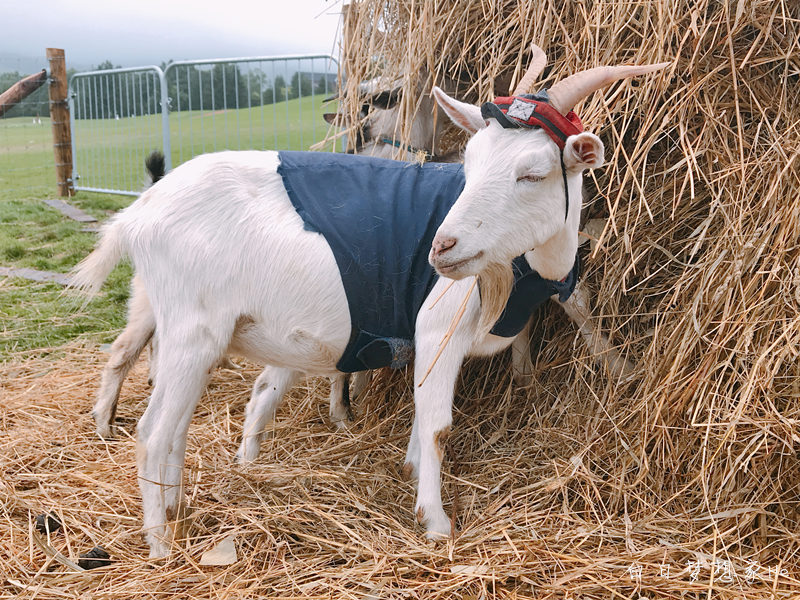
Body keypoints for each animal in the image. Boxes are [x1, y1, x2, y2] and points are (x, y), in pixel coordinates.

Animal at [75, 52, 664, 556]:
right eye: (470, 163)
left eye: (533, 174)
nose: (441, 247)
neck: (530, 266)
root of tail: (140, 212)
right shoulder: (438, 326)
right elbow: (438, 425)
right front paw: (435, 521)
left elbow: (427, 415)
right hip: (189, 328)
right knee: (153, 432)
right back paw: (159, 541)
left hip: (197, 338)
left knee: (176, 427)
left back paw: (177, 511)